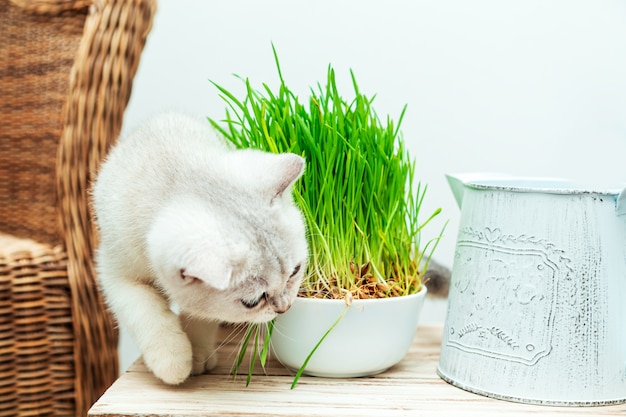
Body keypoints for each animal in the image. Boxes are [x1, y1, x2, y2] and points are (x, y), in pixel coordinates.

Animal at [91, 113, 306, 384]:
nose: (284, 308)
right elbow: (146, 313)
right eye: (252, 301)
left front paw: (197, 355)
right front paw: (173, 361)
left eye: (295, 271)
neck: (179, 178)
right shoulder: (115, 274)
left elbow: (201, 317)